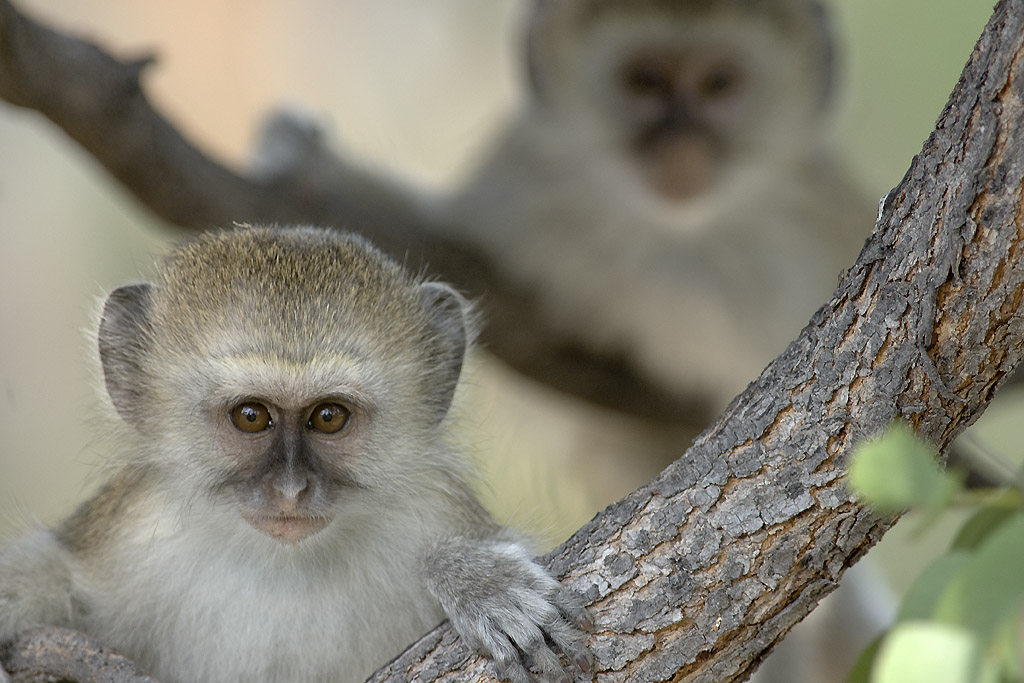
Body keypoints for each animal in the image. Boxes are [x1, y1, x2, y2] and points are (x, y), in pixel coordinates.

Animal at [0, 227, 593, 683]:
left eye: (328, 416)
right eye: (250, 416)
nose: (290, 491)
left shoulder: (434, 506)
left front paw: (473, 577)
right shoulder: (132, 529)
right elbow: (49, 569)